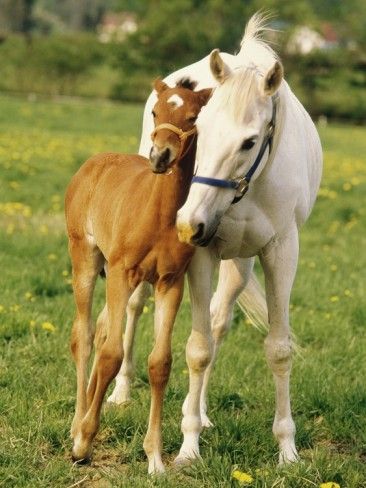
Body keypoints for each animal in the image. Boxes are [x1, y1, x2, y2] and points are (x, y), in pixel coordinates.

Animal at [64, 79, 210, 472]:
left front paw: (155, 458)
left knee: (100, 330)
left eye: (193, 116)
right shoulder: (120, 273)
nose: (160, 156)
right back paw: (77, 423)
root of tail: (93, 163)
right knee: (84, 336)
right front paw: (84, 442)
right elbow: (112, 355)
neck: (158, 213)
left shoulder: (170, 282)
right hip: (86, 258)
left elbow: (160, 363)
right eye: (155, 112)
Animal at [111, 13, 320, 468]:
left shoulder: (281, 252)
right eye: (200, 129)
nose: (190, 223)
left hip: (239, 263)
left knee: (219, 320)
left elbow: (277, 348)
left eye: (250, 141)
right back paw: (122, 390)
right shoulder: (200, 254)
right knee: (136, 305)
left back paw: (203, 412)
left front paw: (287, 449)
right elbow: (197, 349)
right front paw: (188, 448)